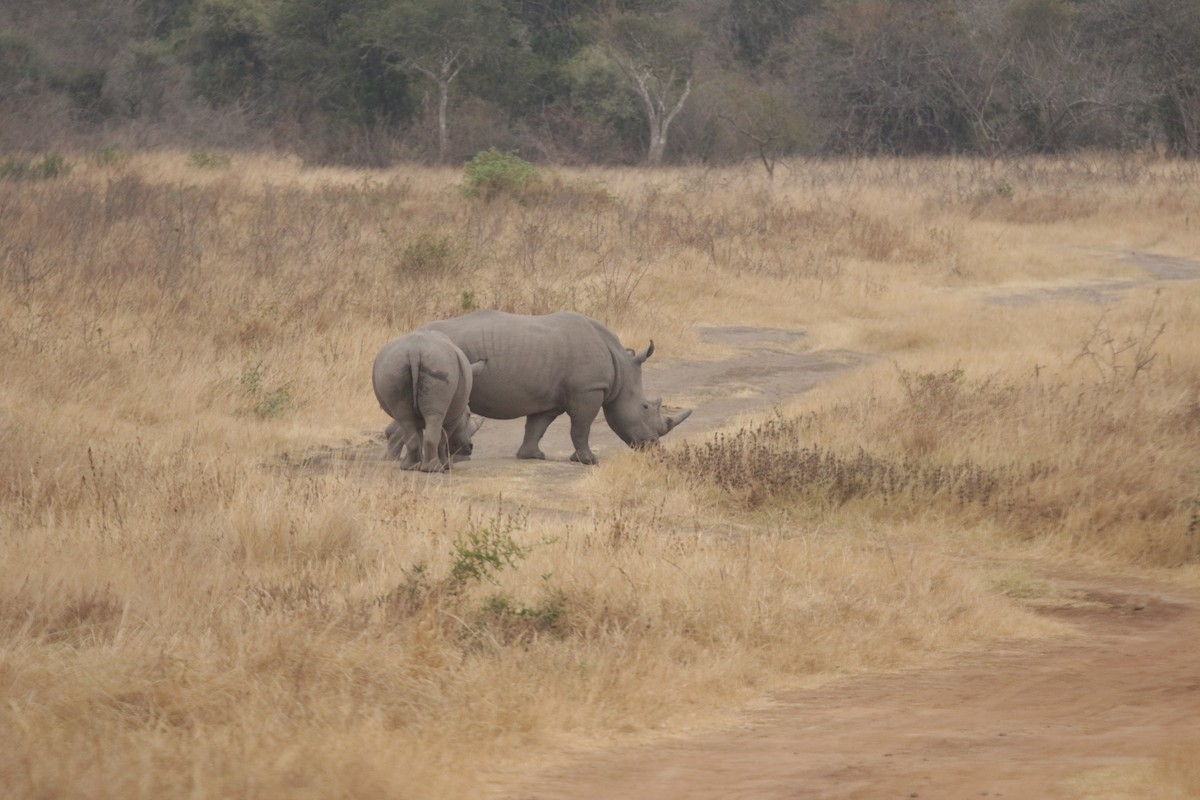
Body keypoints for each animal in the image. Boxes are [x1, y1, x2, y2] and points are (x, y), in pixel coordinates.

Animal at [372, 329, 484, 472]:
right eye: (469, 415)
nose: (470, 447)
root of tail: (414, 350)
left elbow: (419, 434)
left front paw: (419, 464)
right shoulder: (455, 417)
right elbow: (444, 438)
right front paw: (447, 466)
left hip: (392, 369)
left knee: (404, 418)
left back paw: (410, 467)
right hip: (440, 365)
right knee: (433, 418)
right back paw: (433, 469)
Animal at [421, 310, 692, 464]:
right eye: (645, 407)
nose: (653, 447)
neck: (621, 369)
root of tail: (418, 331)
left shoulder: (549, 400)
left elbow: (537, 426)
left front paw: (531, 456)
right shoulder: (589, 389)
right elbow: (581, 427)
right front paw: (588, 461)